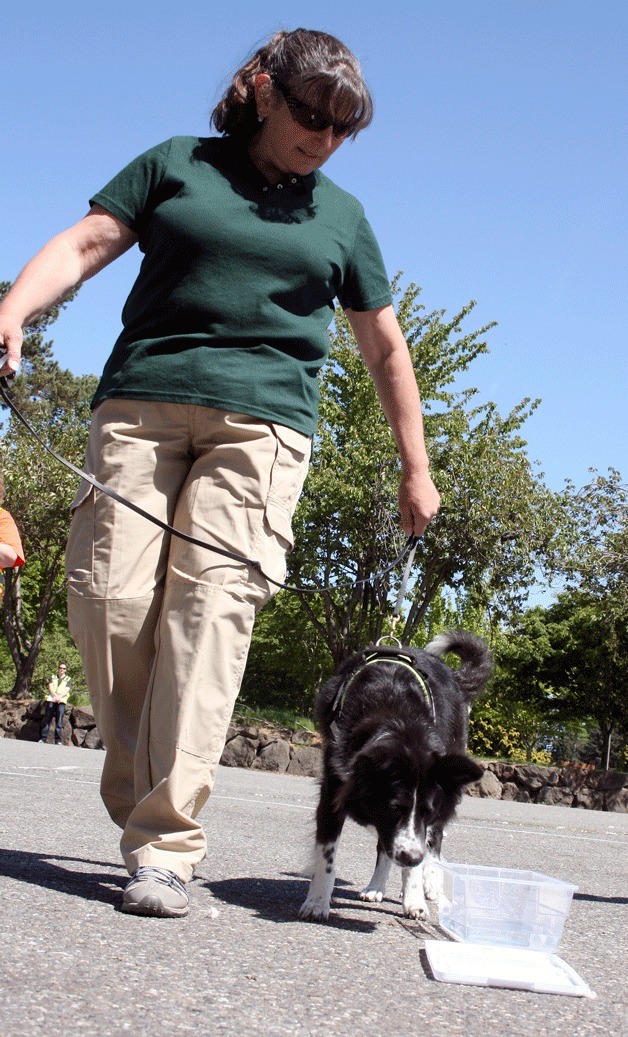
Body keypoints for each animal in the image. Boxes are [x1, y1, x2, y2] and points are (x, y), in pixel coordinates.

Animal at [300, 626, 493, 920]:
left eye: (427, 811)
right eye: (394, 807)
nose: (412, 858)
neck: (397, 721)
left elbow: (419, 850)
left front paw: (414, 899)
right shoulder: (335, 788)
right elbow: (327, 854)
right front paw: (317, 901)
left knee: (435, 843)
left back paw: (429, 882)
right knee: (385, 846)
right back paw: (376, 886)